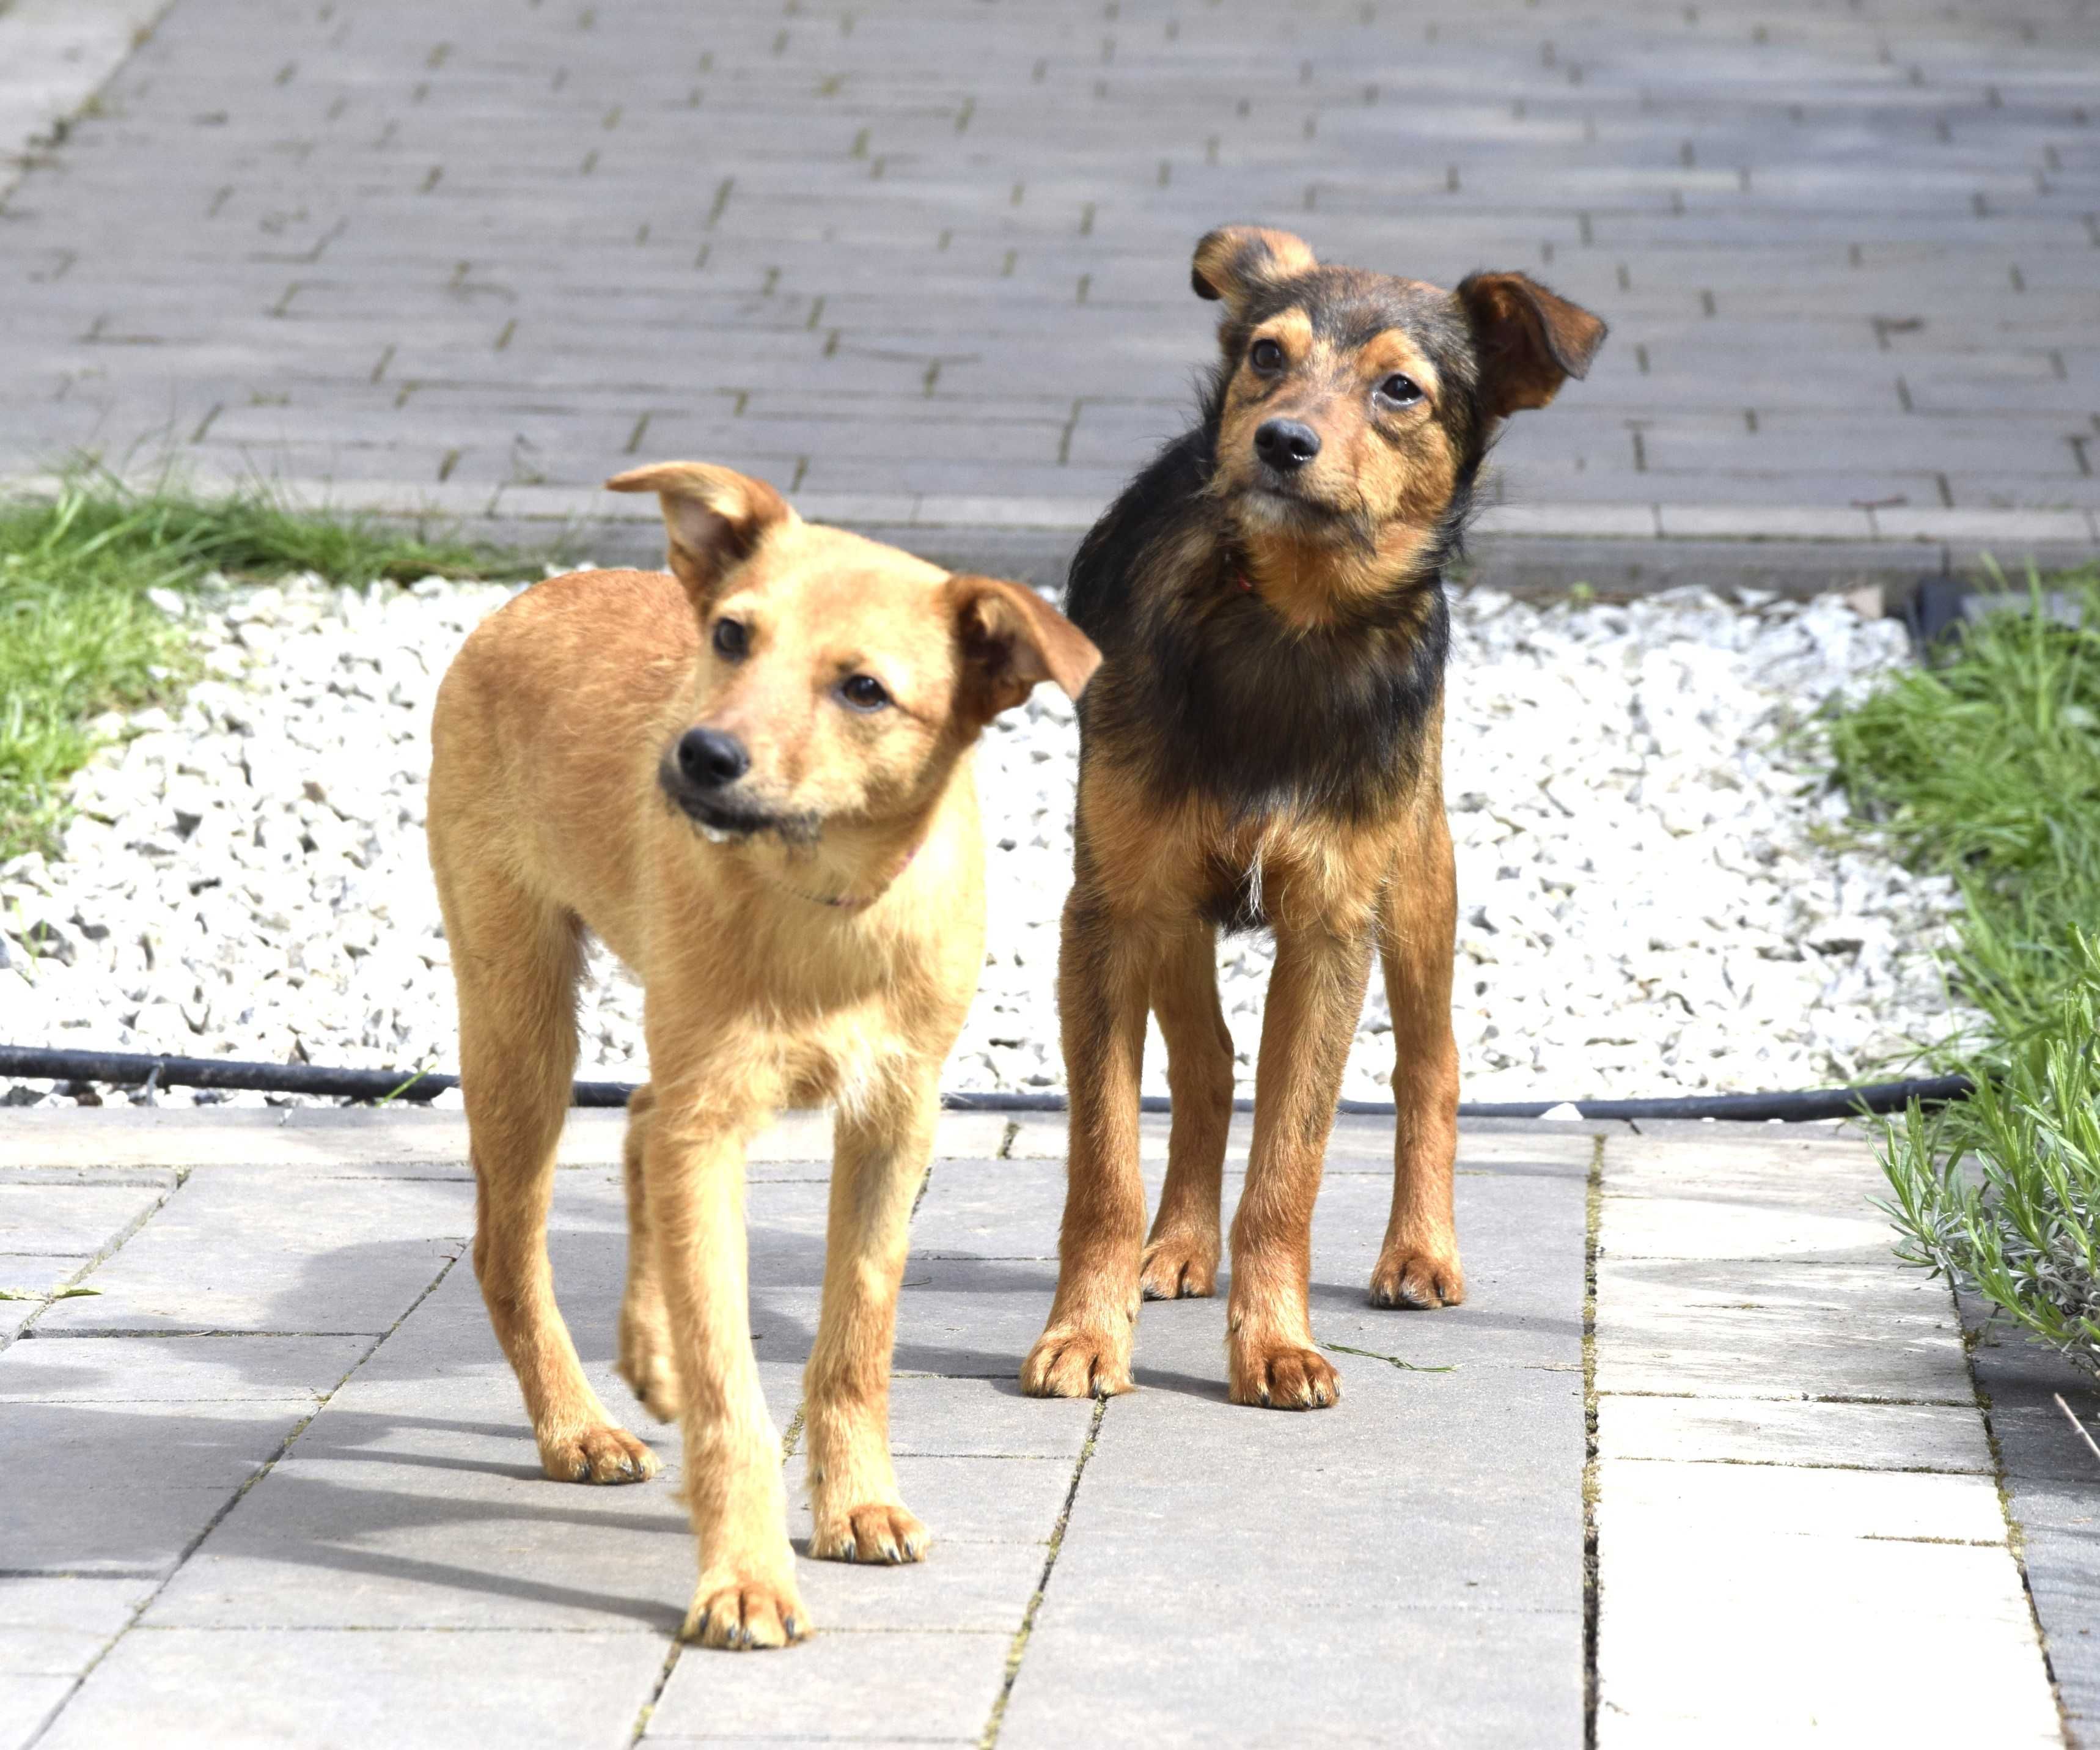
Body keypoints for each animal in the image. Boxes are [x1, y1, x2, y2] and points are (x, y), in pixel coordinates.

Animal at [436, 460, 1109, 1638]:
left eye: (865, 690)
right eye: (732, 636)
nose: (702, 754)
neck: (821, 905)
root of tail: (534, 596)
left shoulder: (892, 1122)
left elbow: (857, 1333)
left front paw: (859, 1503)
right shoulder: (713, 1129)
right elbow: (727, 1382)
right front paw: (745, 1573)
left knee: (637, 1124)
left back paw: (640, 1358)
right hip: (522, 1024)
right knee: (509, 1247)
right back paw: (576, 1424)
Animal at [1024, 229, 1596, 1403]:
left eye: (1399, 389)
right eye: (1267, 356)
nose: (1279, 441)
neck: (1286, 622)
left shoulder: (1331, 922)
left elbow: (1291, 1163)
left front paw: (1276, 1344)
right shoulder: (1111, 908)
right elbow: (1103, 1160)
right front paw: (1087, 1333)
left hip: (1416, 872)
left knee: (1431, 1063)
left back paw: (1419, 1250)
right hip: (1172, 907)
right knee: (1205, 1063)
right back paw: (1178, 1243)